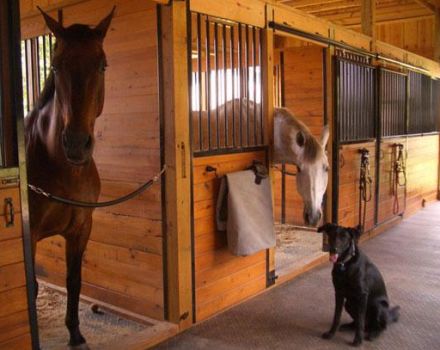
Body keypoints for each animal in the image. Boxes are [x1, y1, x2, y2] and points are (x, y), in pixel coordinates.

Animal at [24, 8, 114, 348]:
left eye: (102, 64)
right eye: (55, 65)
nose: (76, 144)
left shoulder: (81, 228)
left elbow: (74, 280)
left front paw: (75, 333)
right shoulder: (30, 233)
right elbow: (31, 288)